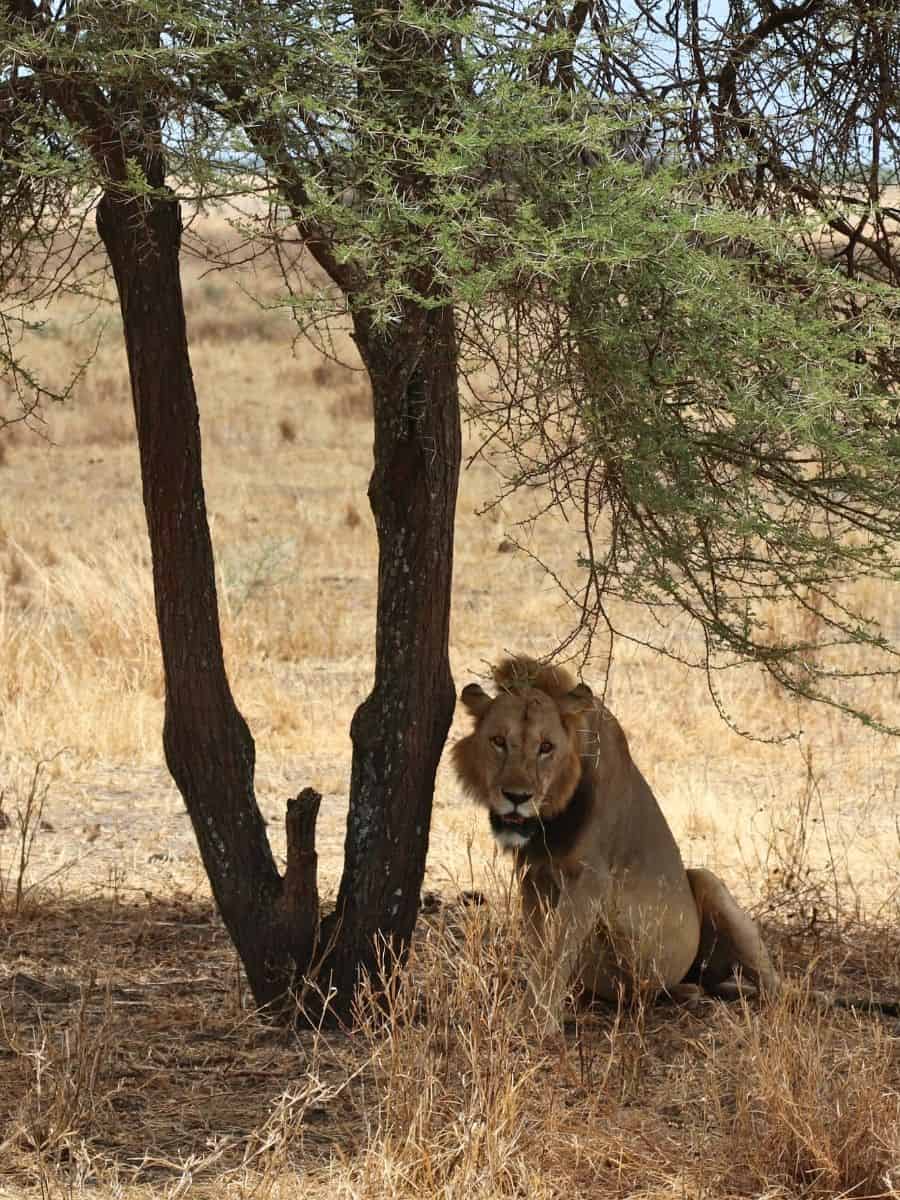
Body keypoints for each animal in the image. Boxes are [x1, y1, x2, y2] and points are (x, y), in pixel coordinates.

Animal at [451, 656, 779, 1025]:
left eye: (546, 747)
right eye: (498, 741)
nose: (517, 797)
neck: (549, 823)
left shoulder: (591, 878)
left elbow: (556, 952)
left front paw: (538, 1021)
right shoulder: (533, 876)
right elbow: (539, 948)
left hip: (708, 882)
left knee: (774, 986)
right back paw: (688, 993)